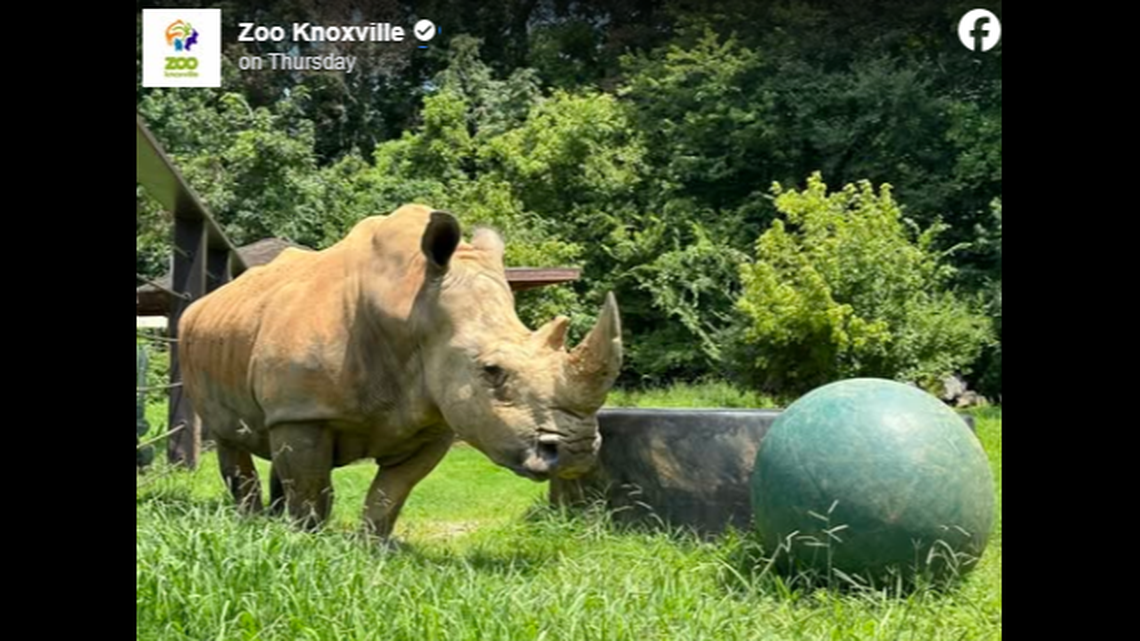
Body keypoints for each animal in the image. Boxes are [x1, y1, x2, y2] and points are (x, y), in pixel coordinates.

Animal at [178, 204, 622, 538]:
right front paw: (305, 542)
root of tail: (208, 300)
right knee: (229, 439)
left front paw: (371, 549)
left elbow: (390, 493)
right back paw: (252, 523)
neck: (411, 303)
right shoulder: (304, 411)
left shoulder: (435, 419)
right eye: (492, 371)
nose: (578, 451)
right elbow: (310, 490)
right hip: (198, 345)